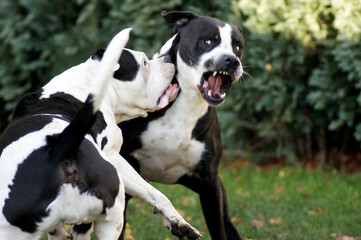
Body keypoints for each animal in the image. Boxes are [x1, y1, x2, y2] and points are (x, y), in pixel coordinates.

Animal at [0, 28, 200, 240]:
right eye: (145, 63)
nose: (169, 59)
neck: (85, 82)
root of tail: (59, 152)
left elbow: (152, 192)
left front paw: (178, 222)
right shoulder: (114, 156)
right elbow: (151, 190)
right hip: (114, 215)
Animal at [119, 11, 243, 240]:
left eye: (237, 46)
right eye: (208, 41)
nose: (231, 60)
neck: (186, 102)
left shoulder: (210, 186)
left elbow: (218, 229)